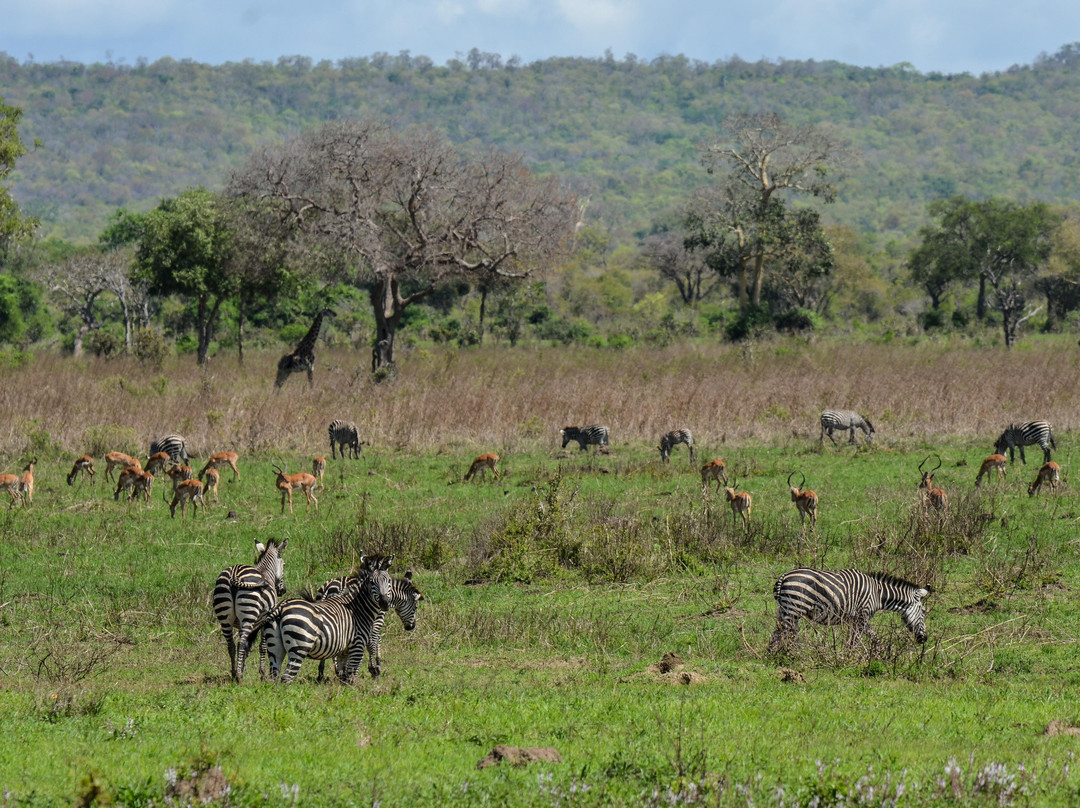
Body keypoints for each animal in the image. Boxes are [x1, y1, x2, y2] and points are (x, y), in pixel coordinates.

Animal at [212, 535, 289, 682]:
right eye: (284, 565)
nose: (282, 590)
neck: (266, 572)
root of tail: (234, 574)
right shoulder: (266, 620)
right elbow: (262, 646)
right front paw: (262, 674)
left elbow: (247, 646)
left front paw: (242, 666)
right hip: (248, 613)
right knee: (240, 643)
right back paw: (239, 677)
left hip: (225, 617)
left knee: (231, 645)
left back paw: (234, 673)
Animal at [241, 557, 397, 682]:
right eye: (371, 582)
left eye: (388, 581)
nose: (384, 603)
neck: (357, 608)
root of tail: (281, 607)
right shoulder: (357, 645)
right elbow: (353, 675)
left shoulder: (344, 650)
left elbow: (344, 675)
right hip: (299, 646)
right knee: (286, 678)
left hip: (274, 646)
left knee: (274, 676)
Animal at [768, 566, 928, 652]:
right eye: (923, 612)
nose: (925, 639)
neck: (877, 594)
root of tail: (784, 576)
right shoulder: (862, 615)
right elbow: (854, 641)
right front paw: (848, 659)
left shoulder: (857, 619)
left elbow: (874, 638)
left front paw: (876, 656)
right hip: (794, 608)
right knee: (783, 633)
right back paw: (783, 655)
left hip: (785, 610)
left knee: (780, 632)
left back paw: (777, 655)